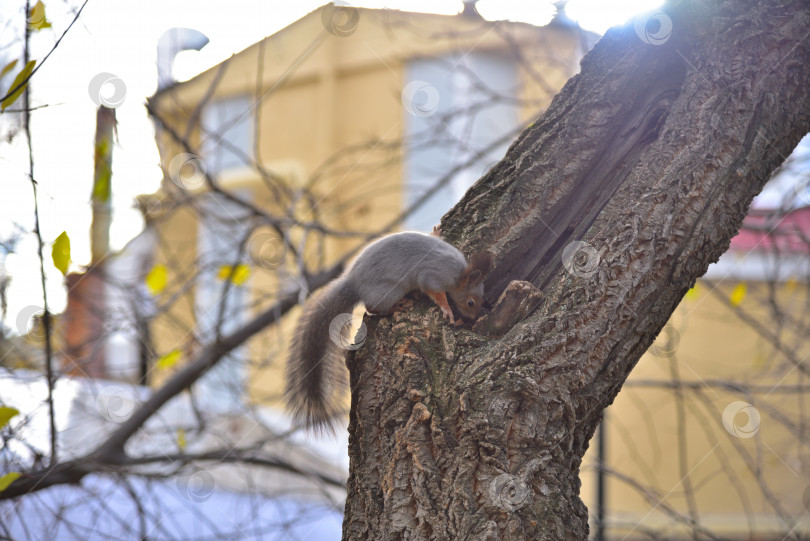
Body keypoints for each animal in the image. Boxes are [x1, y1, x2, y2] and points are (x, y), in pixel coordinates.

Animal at [284, 230, 490, 432]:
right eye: (470, 302)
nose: (472, 319)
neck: (458, 275)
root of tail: (354, 285)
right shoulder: (433, 276)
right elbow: (435, 292)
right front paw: (447, 309)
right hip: (390, 290)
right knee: (372, 308)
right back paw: (396, 306)